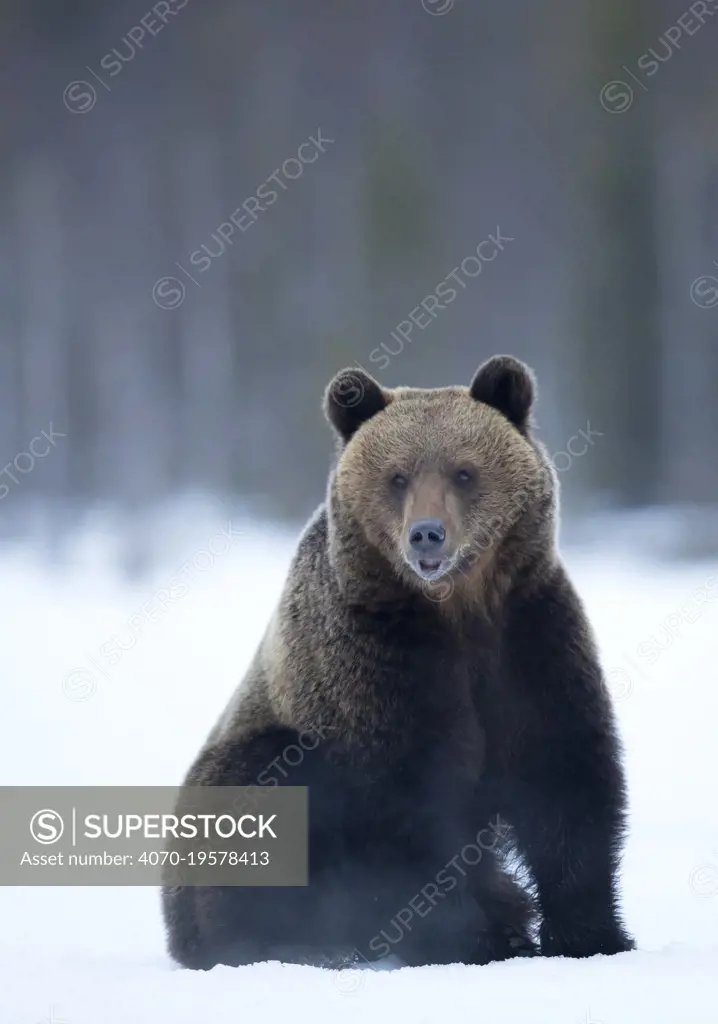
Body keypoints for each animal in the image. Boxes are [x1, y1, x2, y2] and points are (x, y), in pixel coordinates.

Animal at [162, 358, 630, 966]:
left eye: (463, 472)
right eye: (398, 476)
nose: (426, 535)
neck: (457, 610)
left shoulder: (531, 636)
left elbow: (566, 778)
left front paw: (590, 935)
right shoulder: (376, 662)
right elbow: (409, 805)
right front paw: (472, 937)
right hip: (236, 780)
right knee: (262, 788)